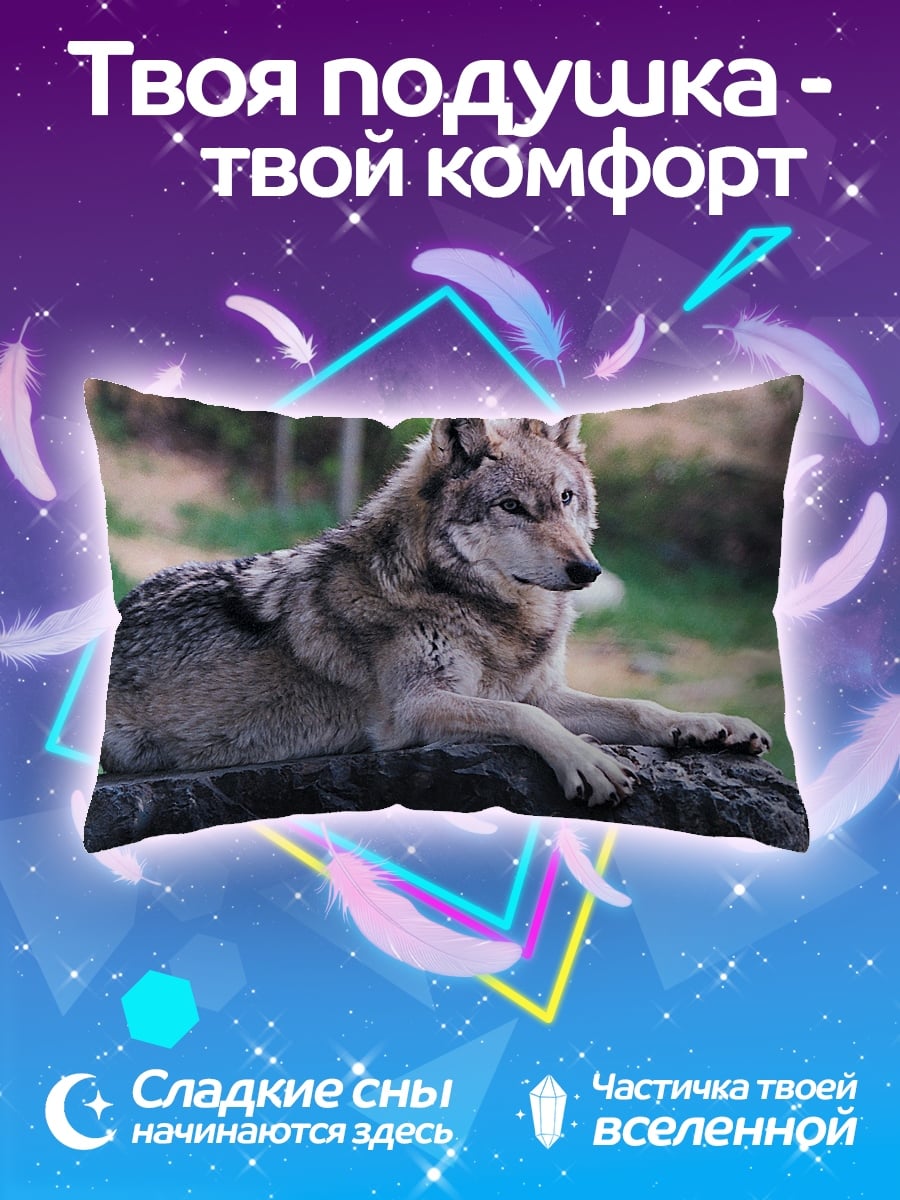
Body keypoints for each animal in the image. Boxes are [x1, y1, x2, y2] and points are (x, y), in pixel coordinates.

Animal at [101, 416, 770, 805]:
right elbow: (529, 721)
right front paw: (588, 760)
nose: (589, 571)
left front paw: (709, 725)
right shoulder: (415, 712)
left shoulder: (541, 689)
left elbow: (637, 707)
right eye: (512, 507)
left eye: (565, 499)